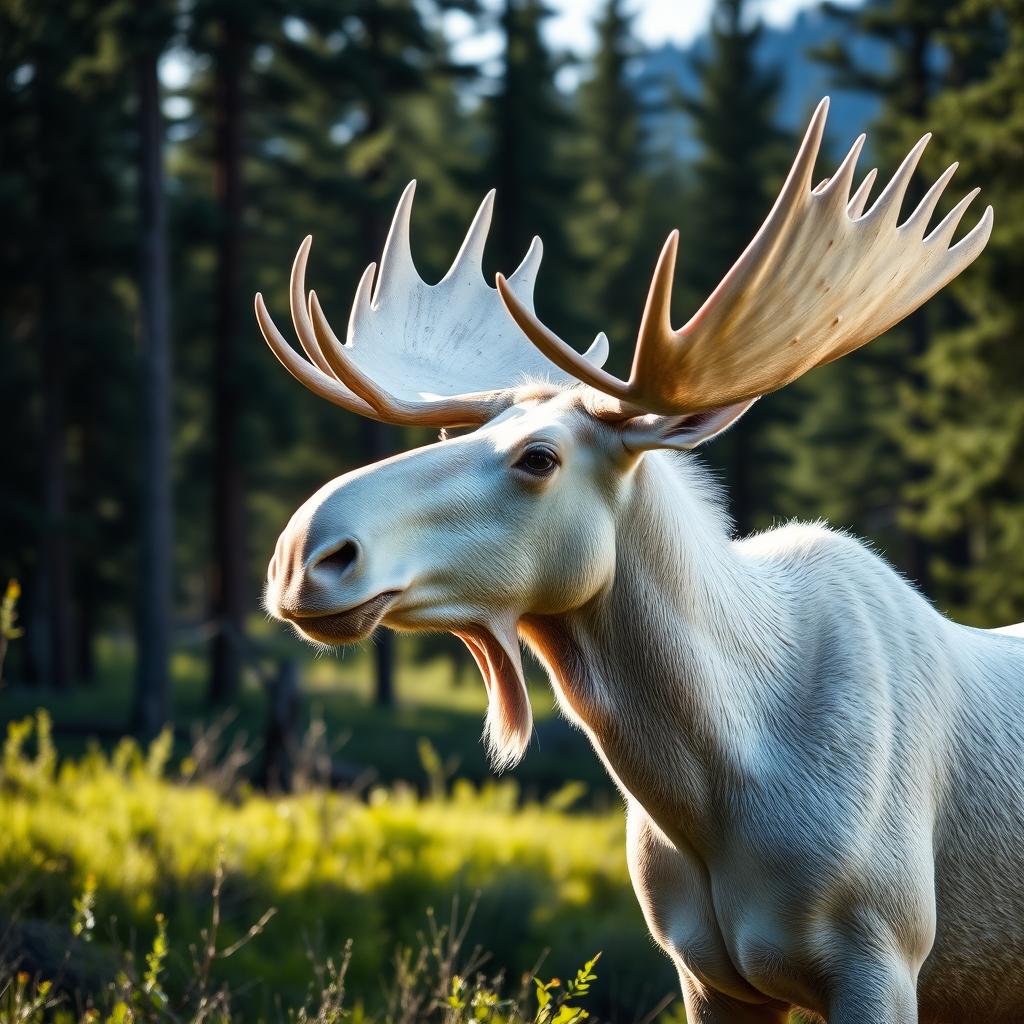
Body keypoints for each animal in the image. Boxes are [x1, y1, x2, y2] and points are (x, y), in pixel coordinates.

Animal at [258, 97, 1024, 1024]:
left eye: (539, 458)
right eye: (452, 436)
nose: (304, 552)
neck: (716, 779)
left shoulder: (883, 956)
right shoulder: (703, 971)